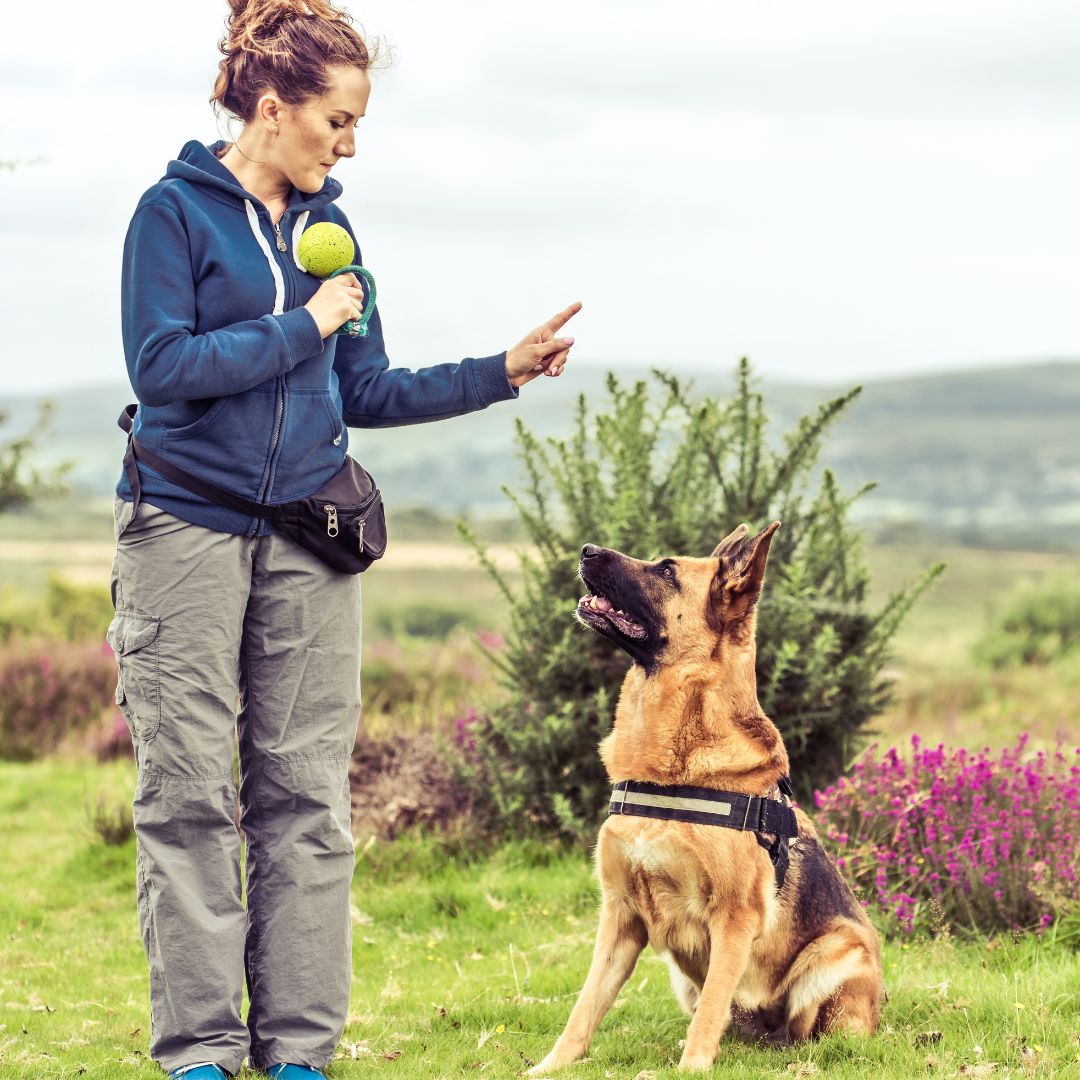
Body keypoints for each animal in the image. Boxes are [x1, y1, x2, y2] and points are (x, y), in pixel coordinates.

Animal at [527, 520, 881, 1071]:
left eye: (667, 570)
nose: (585, 548)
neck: (673, 766)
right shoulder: (619, 917)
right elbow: (586, 1004)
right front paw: (552, 1065)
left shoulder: (734, 920)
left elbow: (714, 1002)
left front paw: (691, 1068)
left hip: (838, 953)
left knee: (808, 1030)